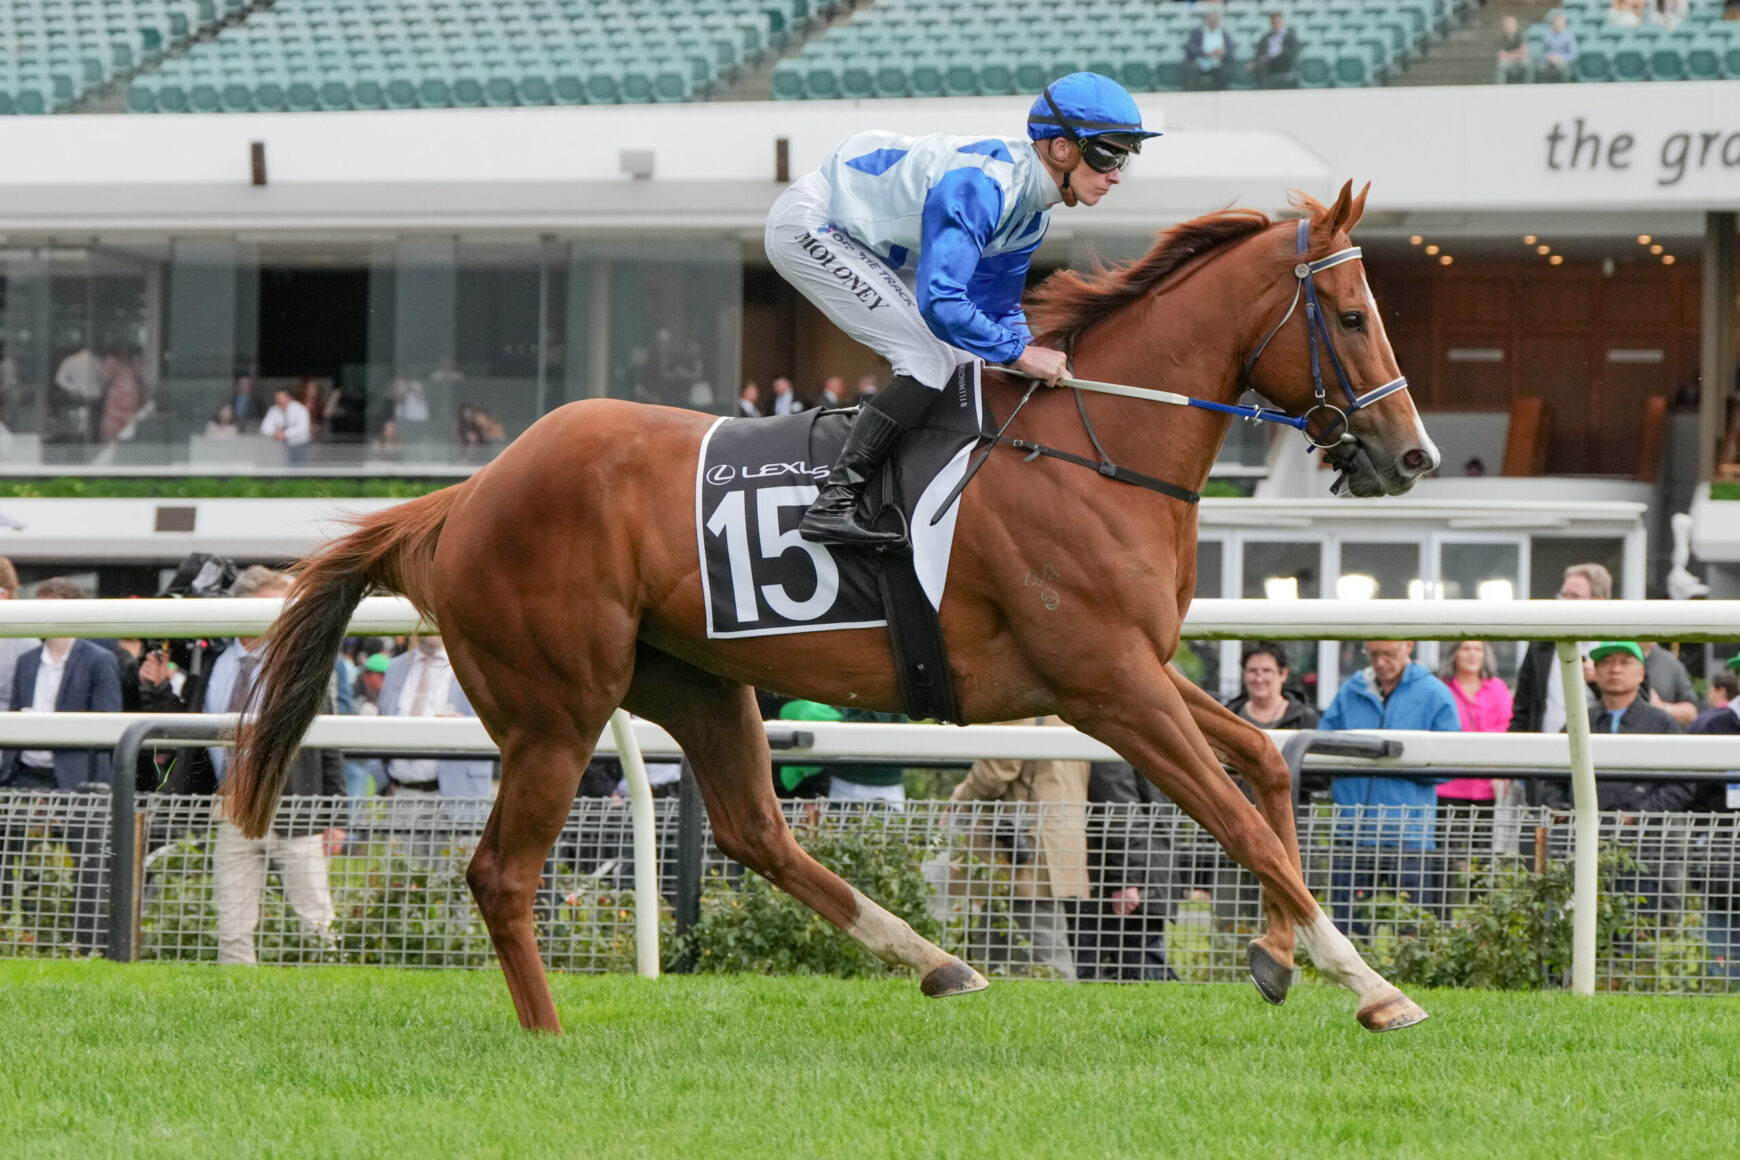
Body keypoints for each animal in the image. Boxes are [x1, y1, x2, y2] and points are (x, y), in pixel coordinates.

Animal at [227, 180, 1441, 1034]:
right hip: (555, 710)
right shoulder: (1106, 684)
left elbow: (1269, 764)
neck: (1092, 444)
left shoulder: (1136, 669)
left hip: (696, 680)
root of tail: (464, 495)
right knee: (503, 872)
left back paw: (939, 961)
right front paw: (1368, 980)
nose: (1412, 455)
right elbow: (1239, 816)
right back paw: (549, 1033)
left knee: (756, 832)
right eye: (1350, 314)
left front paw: (1281, 955)